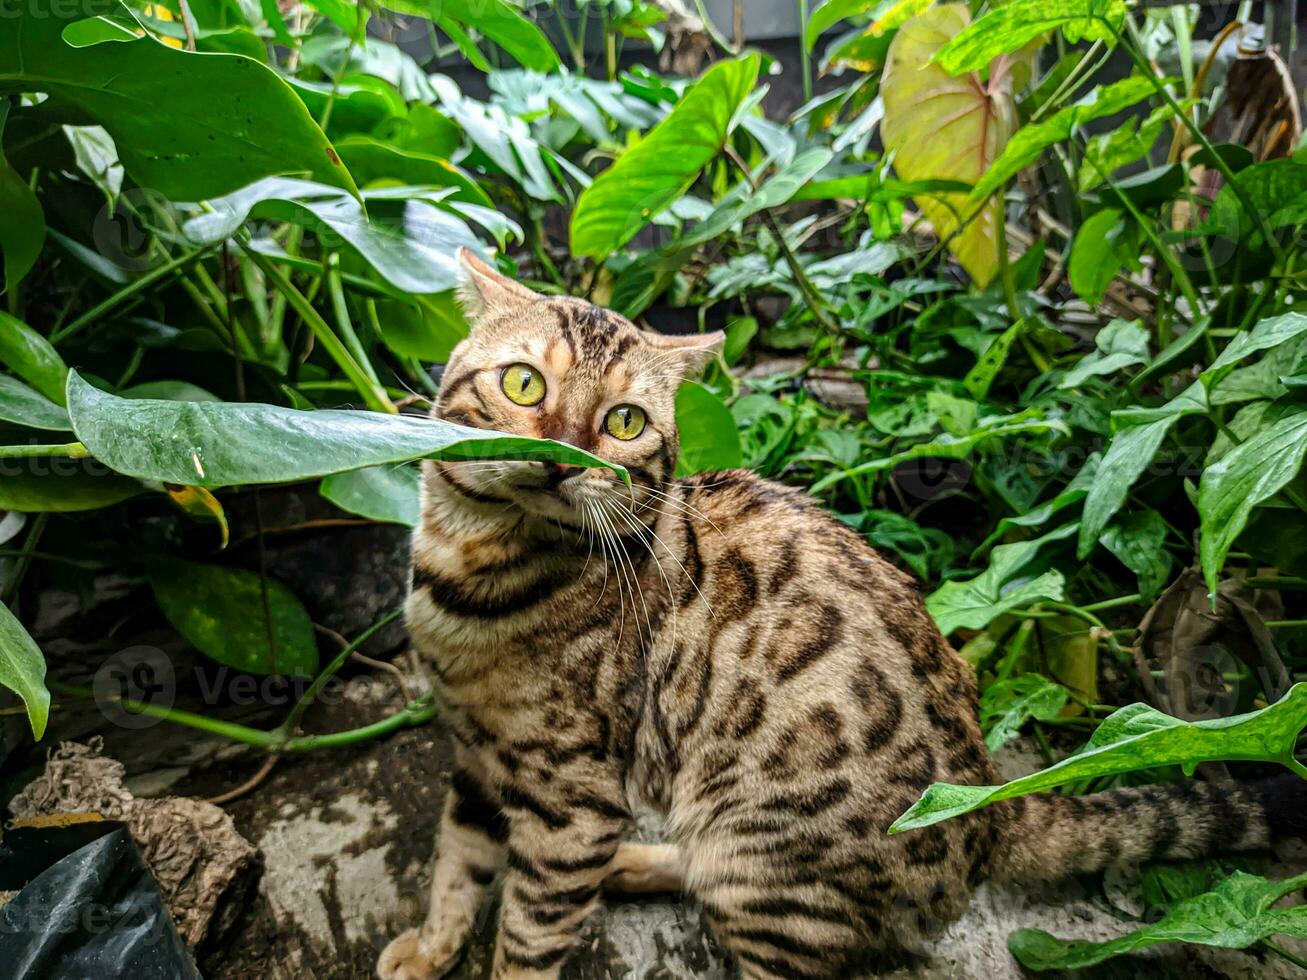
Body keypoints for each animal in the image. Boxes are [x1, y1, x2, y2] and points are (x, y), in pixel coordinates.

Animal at [376, 250, 1296, 980]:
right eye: (523, 382)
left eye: (623, 422)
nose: (561, 458)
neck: (466, 578)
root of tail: (991, 806)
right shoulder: (481, 753)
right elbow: (457, 861)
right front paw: (431, 946)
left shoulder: (573, 801)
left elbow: (527, 937)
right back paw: (642, 862)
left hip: (761, 869)